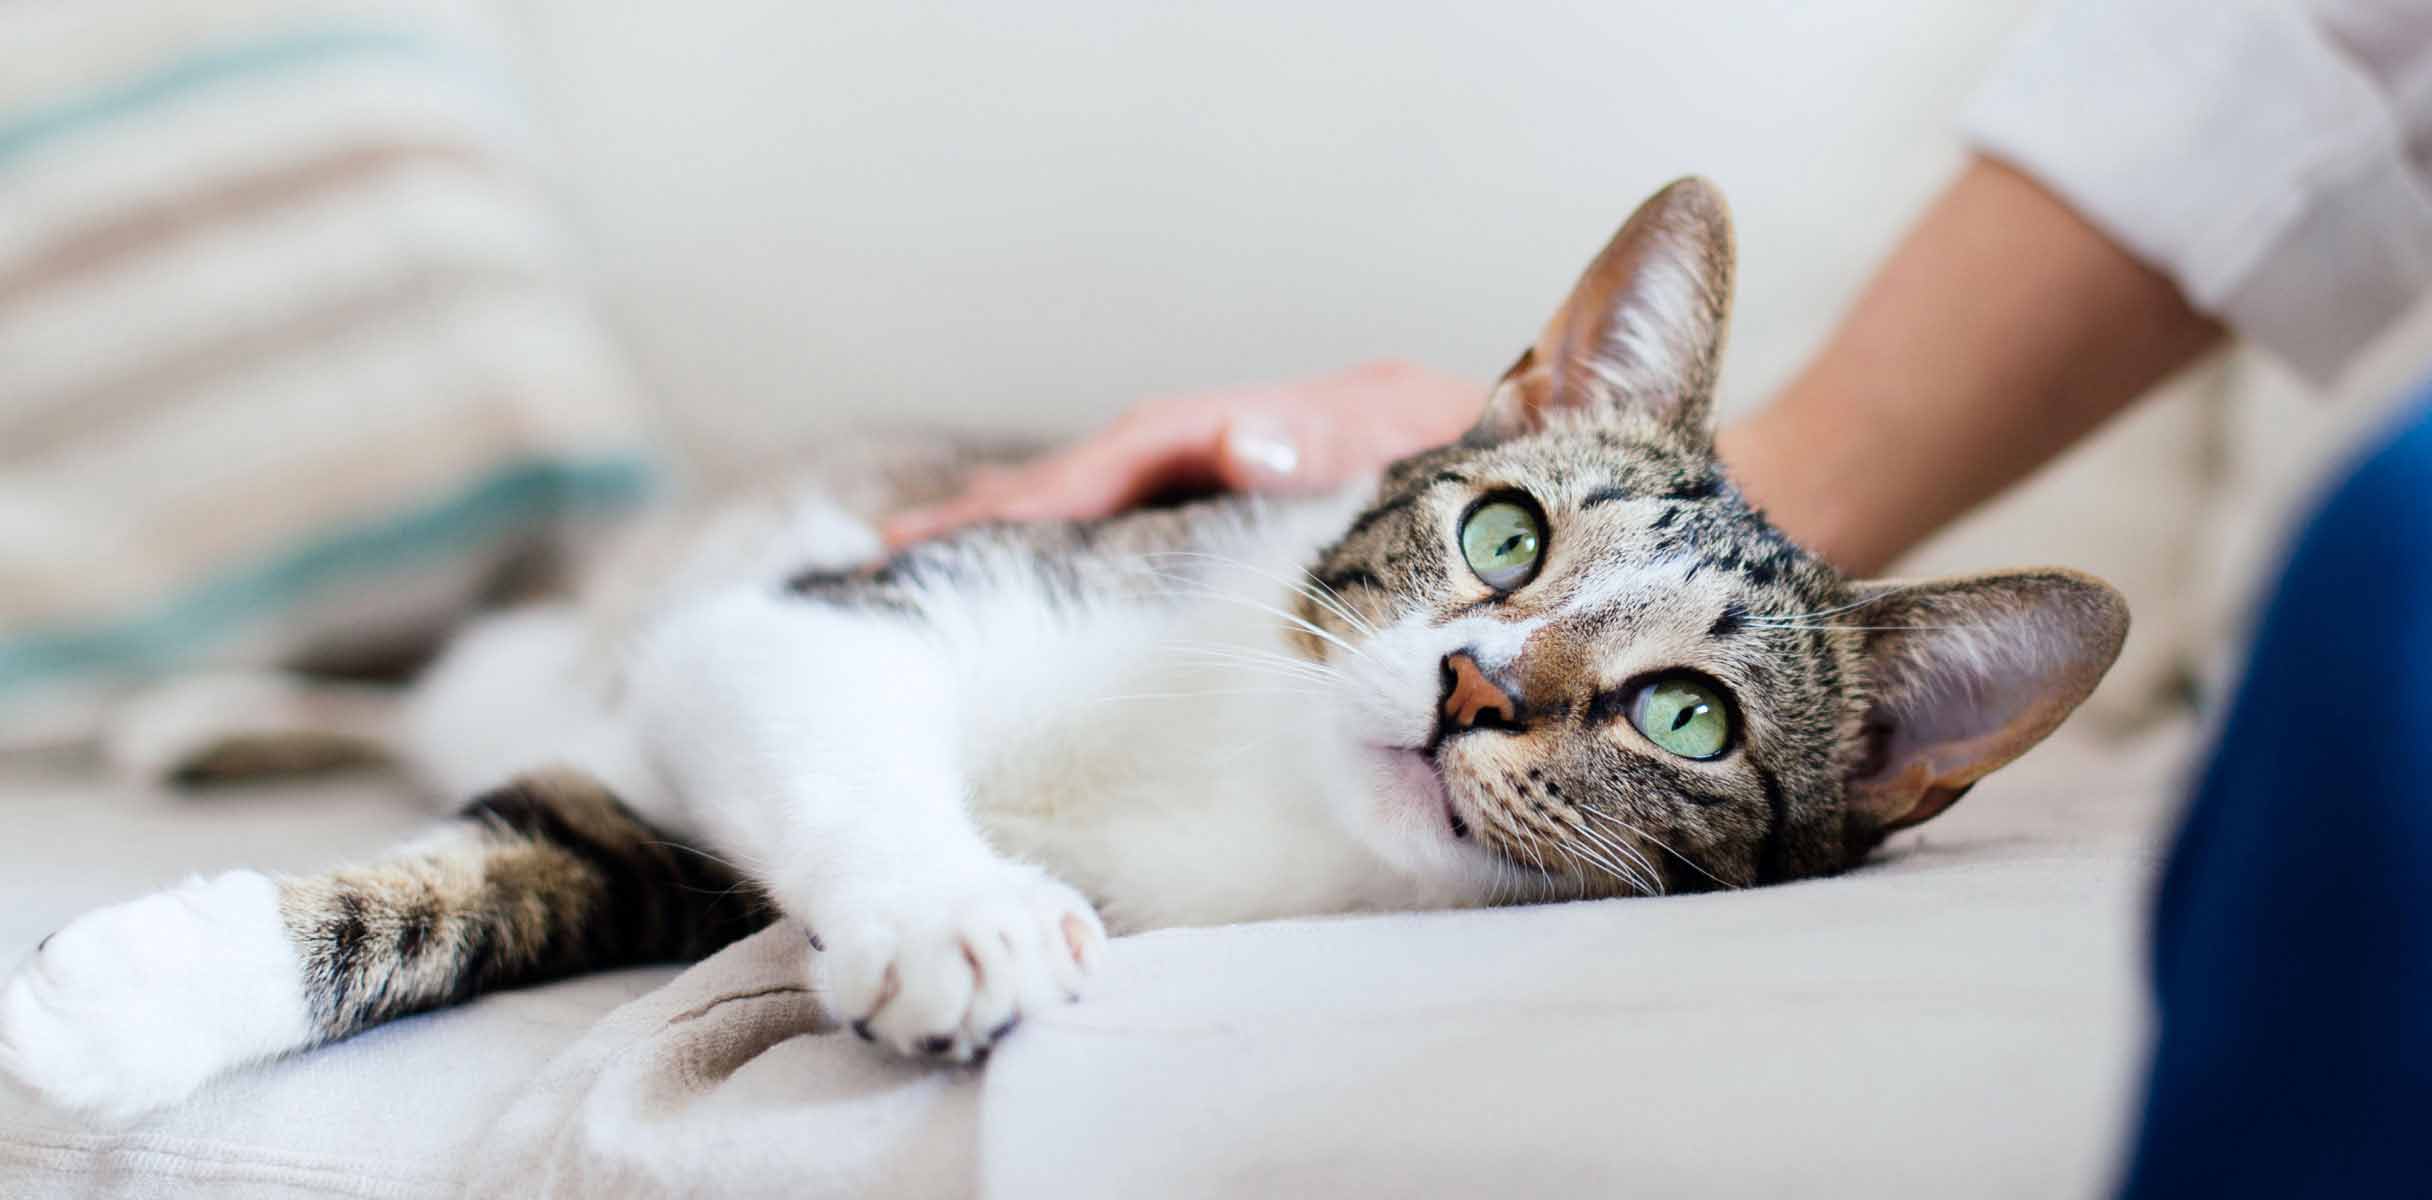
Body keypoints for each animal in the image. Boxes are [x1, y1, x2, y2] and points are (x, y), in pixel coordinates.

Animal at [0, 175, 2130, 1114]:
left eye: (1684, 716)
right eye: (1503, 536)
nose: (1472, 688)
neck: (1249, 782)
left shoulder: (671, 843)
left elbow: (529, 877)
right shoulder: (832, 611)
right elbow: (783, 717)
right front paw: (958, 908)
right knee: (444, 677)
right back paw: (207, 708)